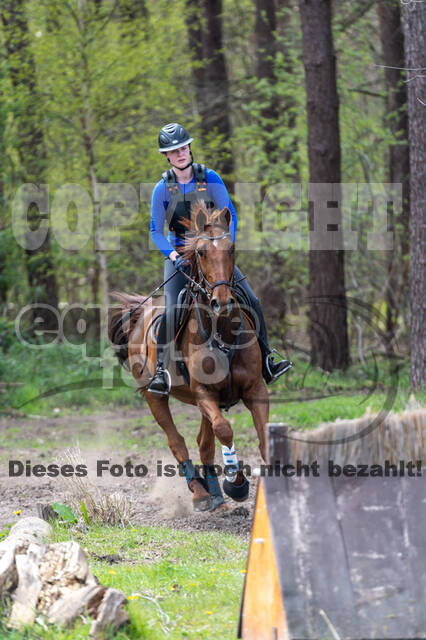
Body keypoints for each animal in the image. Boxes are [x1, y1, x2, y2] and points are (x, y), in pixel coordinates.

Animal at [110, 202, 270, 512]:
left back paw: (214, 494)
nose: (223, 301)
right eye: (201, 252)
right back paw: (200, 492)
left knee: (203, 442)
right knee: (178, 441)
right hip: (155, 397)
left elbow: (262, 437)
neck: (222, 332)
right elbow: (224, 430)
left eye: (232, 248)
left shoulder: (255, 389)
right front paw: (236, 484)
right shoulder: (204, 391)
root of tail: (140, 312)